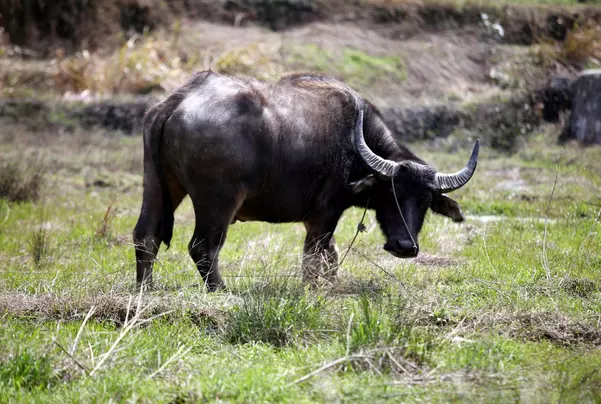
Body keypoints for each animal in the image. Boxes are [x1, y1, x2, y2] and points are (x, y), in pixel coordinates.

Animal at [132, 70, 478, 290]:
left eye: (425, 201)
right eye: (390, 193)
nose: (405, 246)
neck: (355, 142)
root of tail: (179, 101)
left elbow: (331, 256)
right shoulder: (325, 214)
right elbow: (314, 257)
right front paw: (313, 288)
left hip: (158, 185)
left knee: (145, 235)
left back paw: (145, 290)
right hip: (217, 202)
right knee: (203, 247)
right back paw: (222, 290)